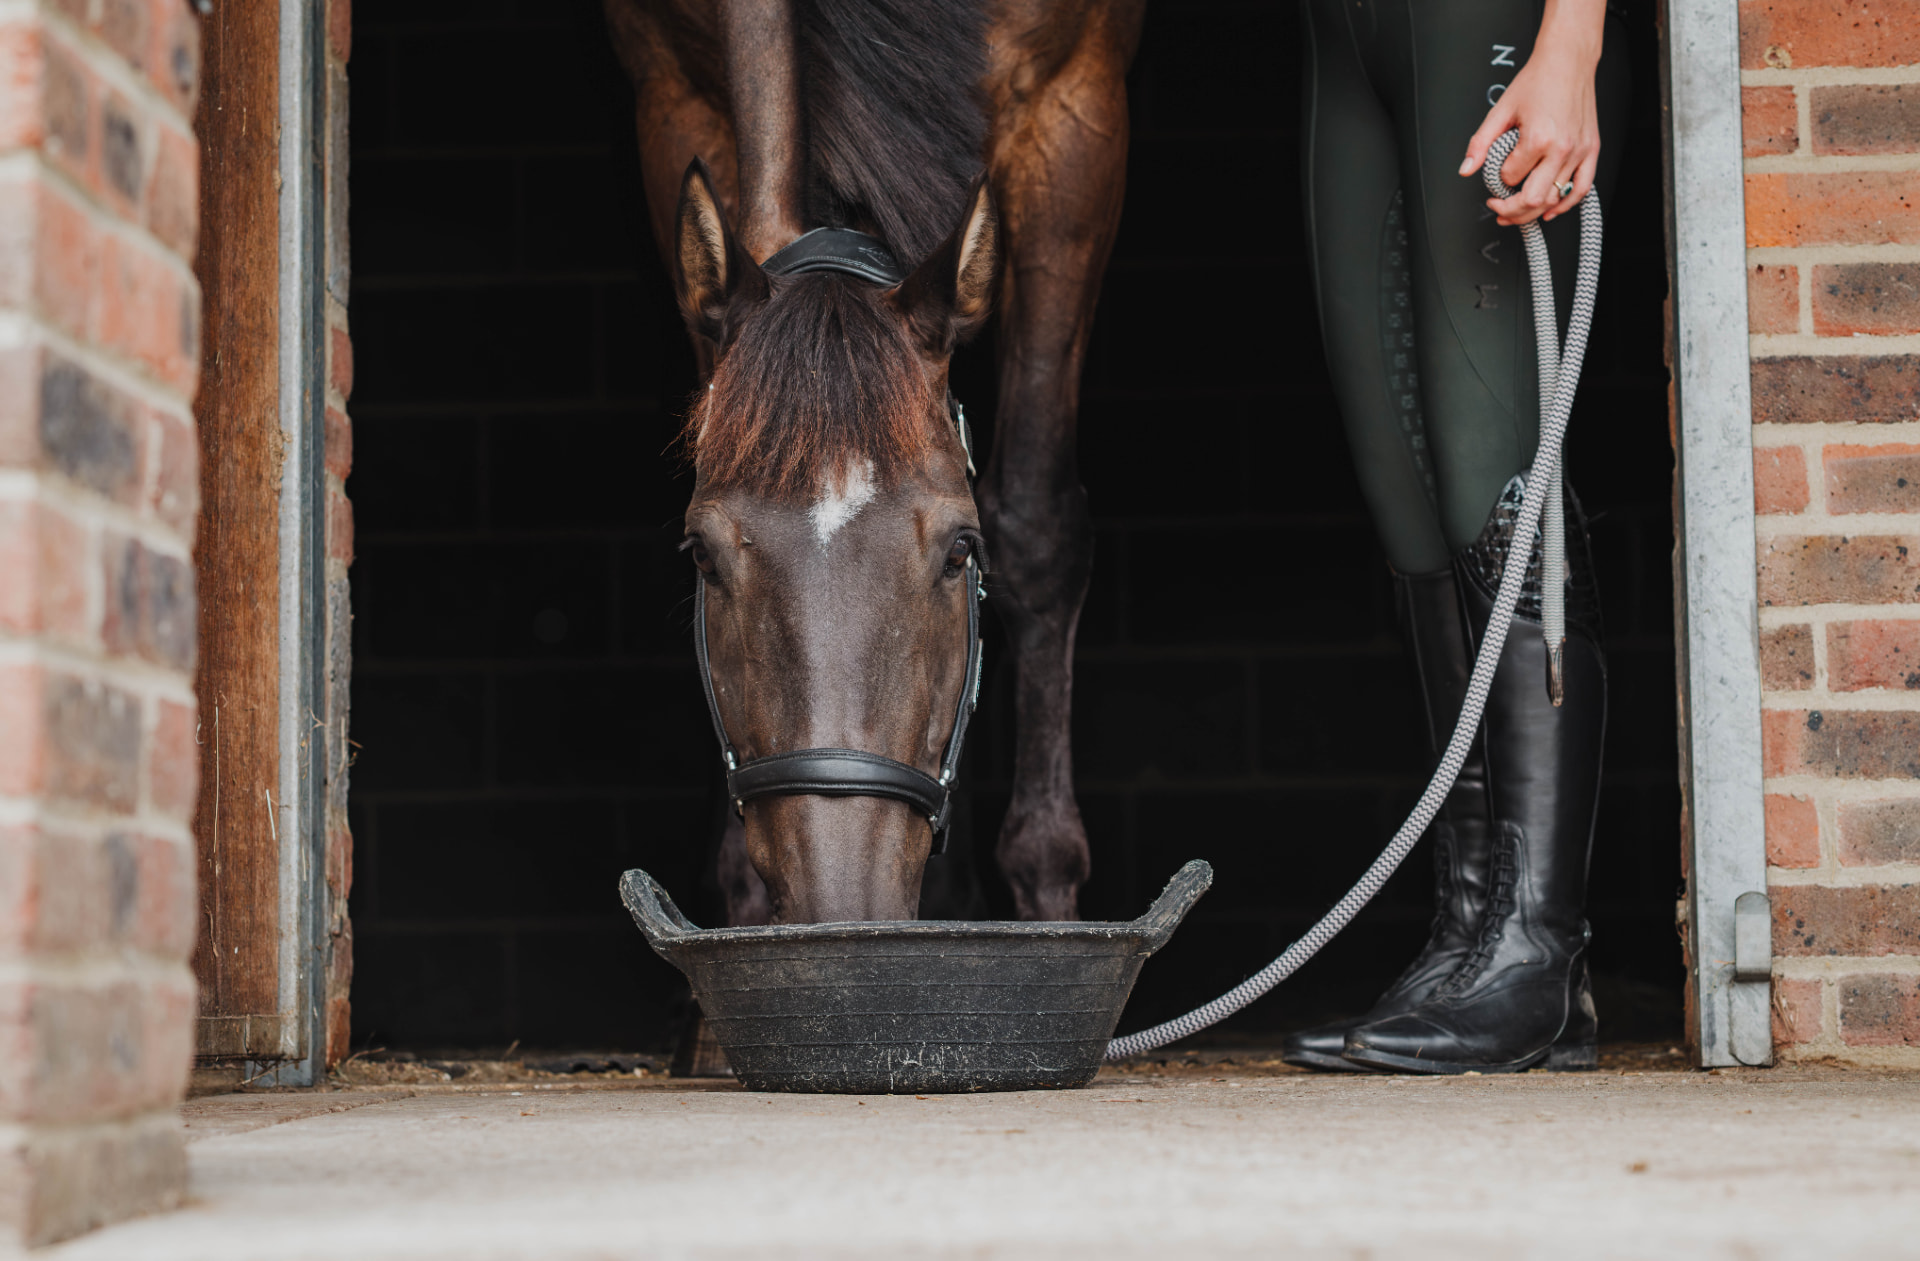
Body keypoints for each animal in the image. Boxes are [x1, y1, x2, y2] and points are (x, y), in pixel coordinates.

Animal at [605, 0, 1142, 924]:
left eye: (962, 550)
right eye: (700, 556)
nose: (845, 915)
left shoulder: (1077, 103)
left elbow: (1038, 532)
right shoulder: (669, 94)